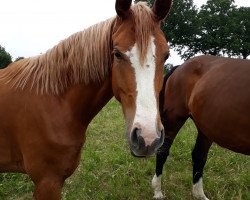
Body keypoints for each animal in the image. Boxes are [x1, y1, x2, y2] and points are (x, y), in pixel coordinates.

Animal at [152, 55, 250, 200]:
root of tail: (180, 67)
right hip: (174, 119)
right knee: (163, 151)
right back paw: (158, 191)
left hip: (206, 128)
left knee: (198, 156)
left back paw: (199, 194)